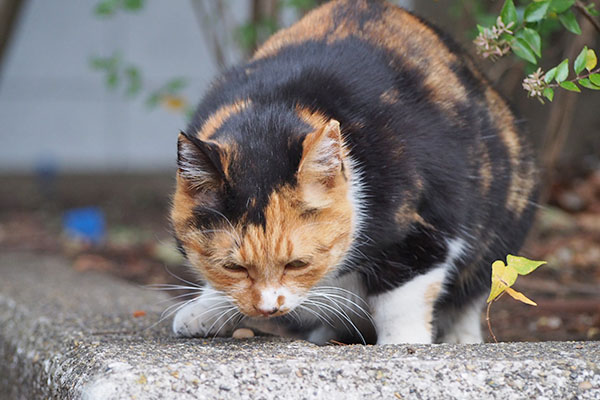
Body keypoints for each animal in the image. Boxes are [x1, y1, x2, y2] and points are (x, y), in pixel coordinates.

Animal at [170, 0, 540, 344]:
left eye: (297, 264)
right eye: (233, 266)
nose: (267, 308)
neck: (272, 109)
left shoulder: (429, 223)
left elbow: (402, 296)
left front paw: (402, 342)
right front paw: (205, 309)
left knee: (473, 293)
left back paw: (461, 337)